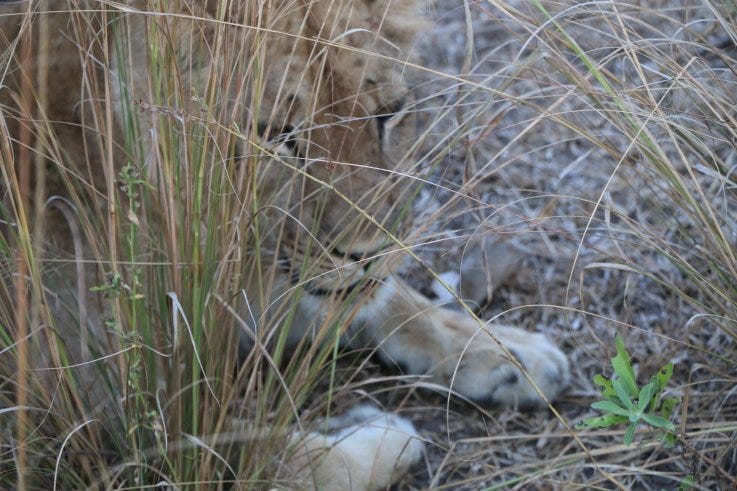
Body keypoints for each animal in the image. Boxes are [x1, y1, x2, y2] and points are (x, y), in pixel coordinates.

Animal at [0, 1, 569, 488]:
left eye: (389, 112)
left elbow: (386, 303)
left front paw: (503, 350)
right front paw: (381, 439)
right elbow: (273, 459)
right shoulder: (85, 416)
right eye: (276, 135)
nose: (371, 250)